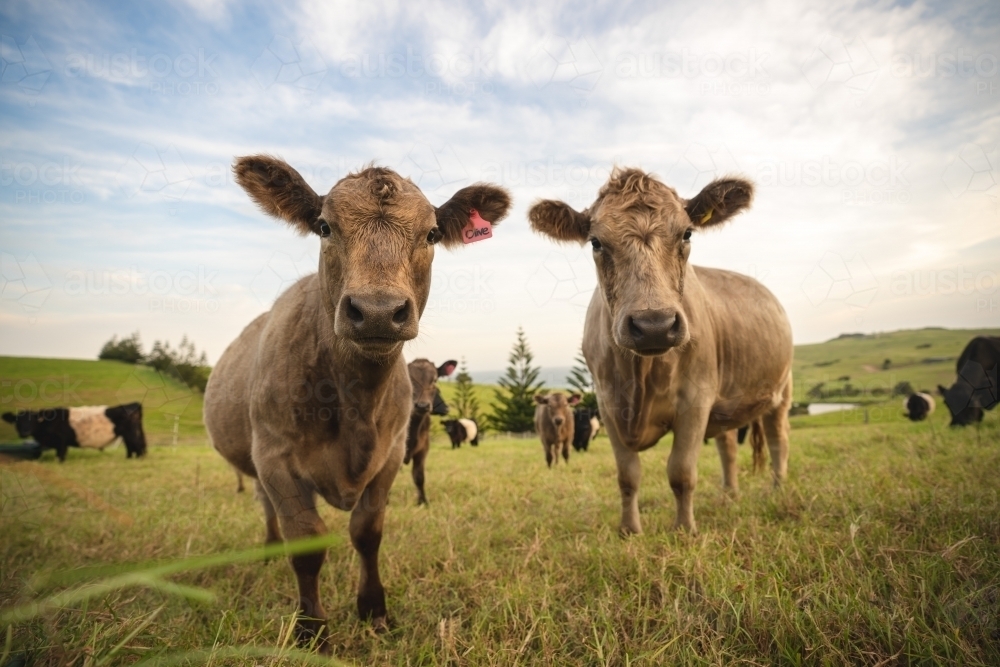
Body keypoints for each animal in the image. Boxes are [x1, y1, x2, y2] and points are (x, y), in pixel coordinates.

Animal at [1, 404, 147, 462]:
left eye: (33, 420)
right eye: (17, 421)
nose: (24, 432)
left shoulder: (61, 442)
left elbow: (61, 455)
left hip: (131, 433)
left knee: (137, 446)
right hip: (126, 435)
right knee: (130, 447)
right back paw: (128, 459)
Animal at [402, 360, 458, 506]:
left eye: (435, 380)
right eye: (409, 380)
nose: (422, 406)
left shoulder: (423, 449)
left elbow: (419, 476)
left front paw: (422, 502)